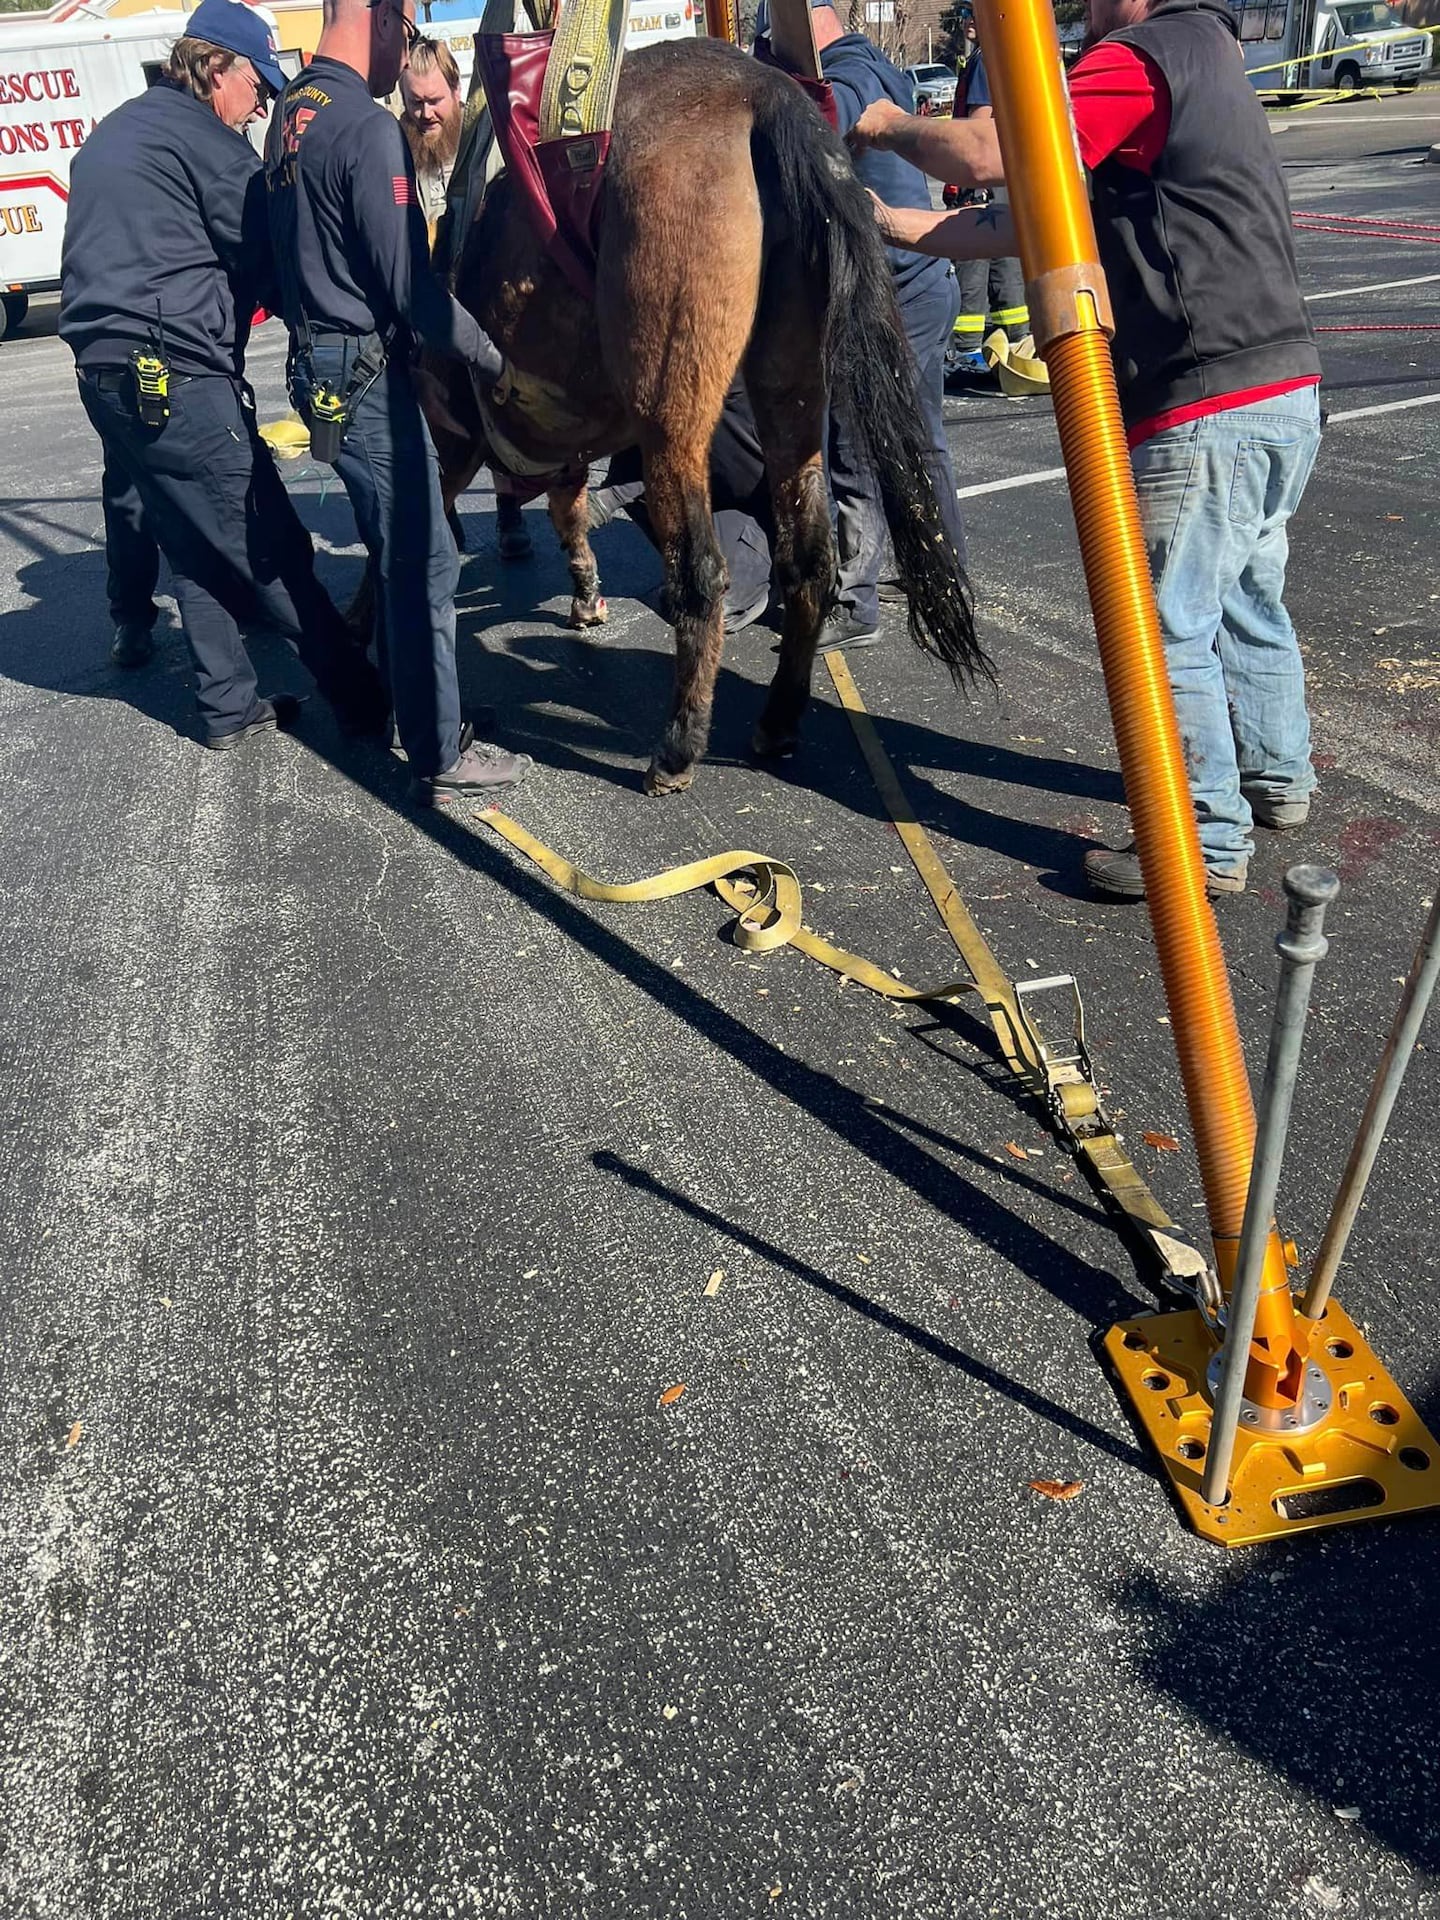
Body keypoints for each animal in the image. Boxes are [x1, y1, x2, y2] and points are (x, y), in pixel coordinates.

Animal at [416, 37, 990, 791]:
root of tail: (761, 92)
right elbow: (568, 514)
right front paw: (584, 593)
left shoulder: (455, 439)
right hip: (791, 388)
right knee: (808, 556)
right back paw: (778, 719)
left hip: (671, 417)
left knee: (699, 571)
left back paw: (679, 746)